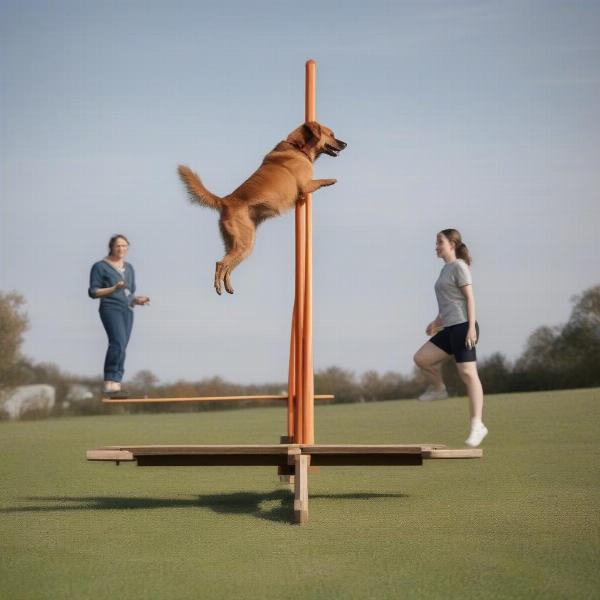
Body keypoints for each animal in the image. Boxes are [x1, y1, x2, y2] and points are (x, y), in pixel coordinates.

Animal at [177, 120, 346, 296]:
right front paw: (331, 180)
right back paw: (218, 287)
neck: (298, 147)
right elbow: (319, 181)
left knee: (227, 267)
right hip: (244, 242)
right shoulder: (306, 185)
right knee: (220, 264)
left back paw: (228, 286)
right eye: (331, 134)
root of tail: (224, 200)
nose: (345, 144)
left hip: (239, 245)